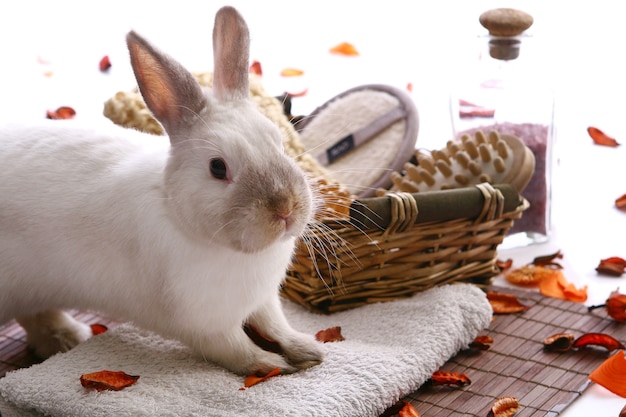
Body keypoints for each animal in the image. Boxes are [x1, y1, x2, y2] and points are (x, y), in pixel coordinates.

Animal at [0, 5, 322, 376]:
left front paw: (308, 350)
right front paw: (271, 364)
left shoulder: (264, 302)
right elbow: (236, 350)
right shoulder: (206, 324)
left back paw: (67, 337)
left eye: (279, 142)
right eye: (218, 168)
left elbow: (276, 326)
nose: (285, 209)